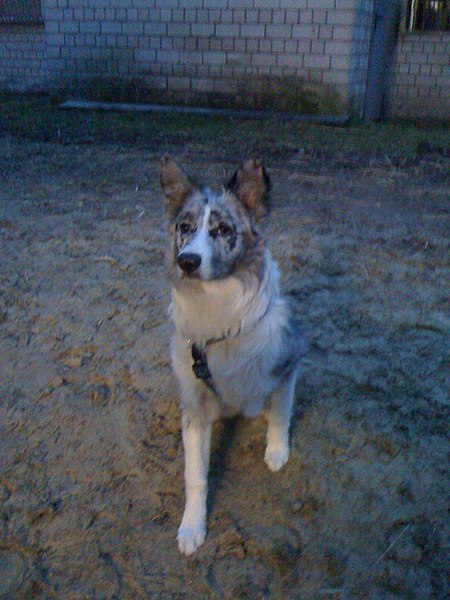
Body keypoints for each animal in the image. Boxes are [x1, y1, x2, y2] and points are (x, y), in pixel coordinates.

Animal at [160, 157, 304, 556]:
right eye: (185, 227)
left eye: (223, 229)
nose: (187, 261)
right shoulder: (194, 402)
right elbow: (195, 475)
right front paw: (192, 527)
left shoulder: (287, 362)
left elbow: (281, 412)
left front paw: (277, 451)